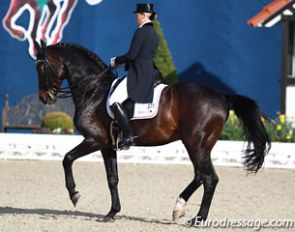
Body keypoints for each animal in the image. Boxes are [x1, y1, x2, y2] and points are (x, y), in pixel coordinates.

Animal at [33, 40, 272, 226]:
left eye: (40, 66)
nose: (45, 97)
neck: (93, 89)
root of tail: (221, 96)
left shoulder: (94, 139)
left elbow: (67, 158)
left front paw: (74, 195)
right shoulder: (108, 145)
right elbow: (112, 178)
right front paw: (112, 213)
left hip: (197, 145)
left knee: (209, 178)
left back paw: (198, 219)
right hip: (195, 144)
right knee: (199, 176)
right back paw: (178, 208)